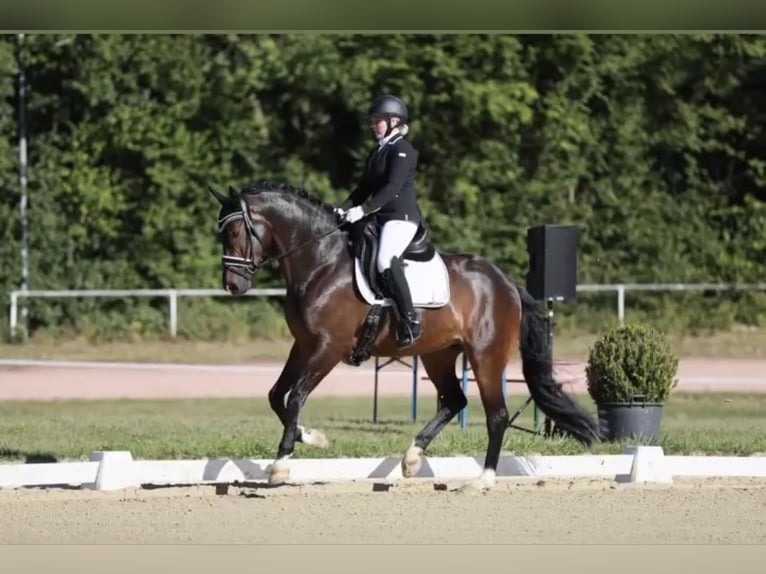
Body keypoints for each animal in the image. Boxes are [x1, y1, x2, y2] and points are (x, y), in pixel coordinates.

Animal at [213, 182, 604, 492]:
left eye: (236, 233)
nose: (233, 285)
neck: (321, 262)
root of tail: (506, 282)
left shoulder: (328, 347)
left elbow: (295, 397)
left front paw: (281, 465)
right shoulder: (304, 345)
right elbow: (276, 396)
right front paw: (313, 438)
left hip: (486, 356)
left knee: (497, 414)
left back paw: (483, 480)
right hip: (438, 355)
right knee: (455, 400)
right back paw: (413, 458)